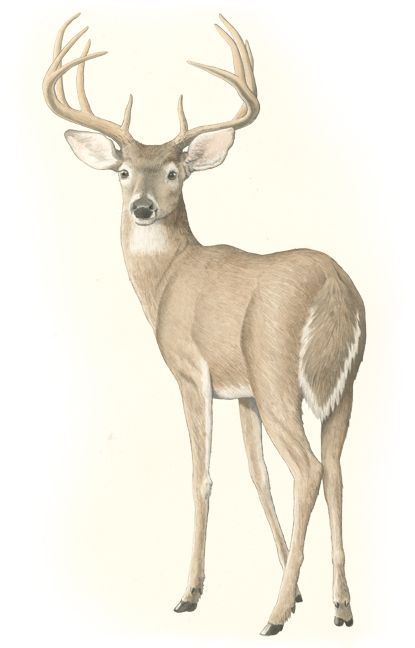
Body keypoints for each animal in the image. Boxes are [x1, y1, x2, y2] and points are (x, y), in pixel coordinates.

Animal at [43, 13, 366, 636]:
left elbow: (203, 477)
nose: (143, 207)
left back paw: (271, 617)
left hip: (277, 373)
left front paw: (191, 592)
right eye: (123, 171)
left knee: (309, 470)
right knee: (336, 471)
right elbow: (257, 476)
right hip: (343, 387)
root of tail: (334, 290)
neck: (167, 281)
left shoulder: (193, 374)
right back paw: (340, 606)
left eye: (174, 172)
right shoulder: (243, 394)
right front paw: (299, 589)